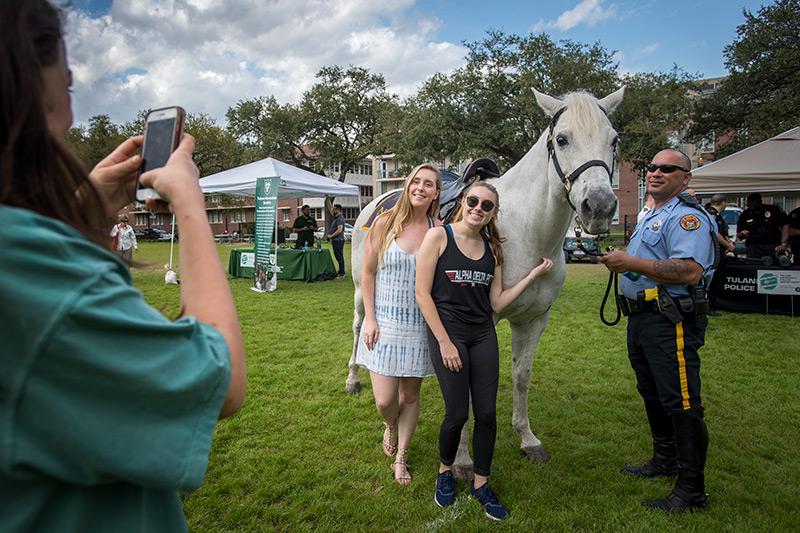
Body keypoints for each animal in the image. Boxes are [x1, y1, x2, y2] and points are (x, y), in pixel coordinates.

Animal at [344, 88, 624, 474]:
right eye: (562, 139)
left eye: (614, 140)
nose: (599, 207)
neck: (525, 230)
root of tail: (378, 203)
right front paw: (462, 459)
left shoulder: (534, 319)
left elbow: (521, 376)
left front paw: (527, 439)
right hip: (363, 290)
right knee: (360, 327)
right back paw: (354, 379)